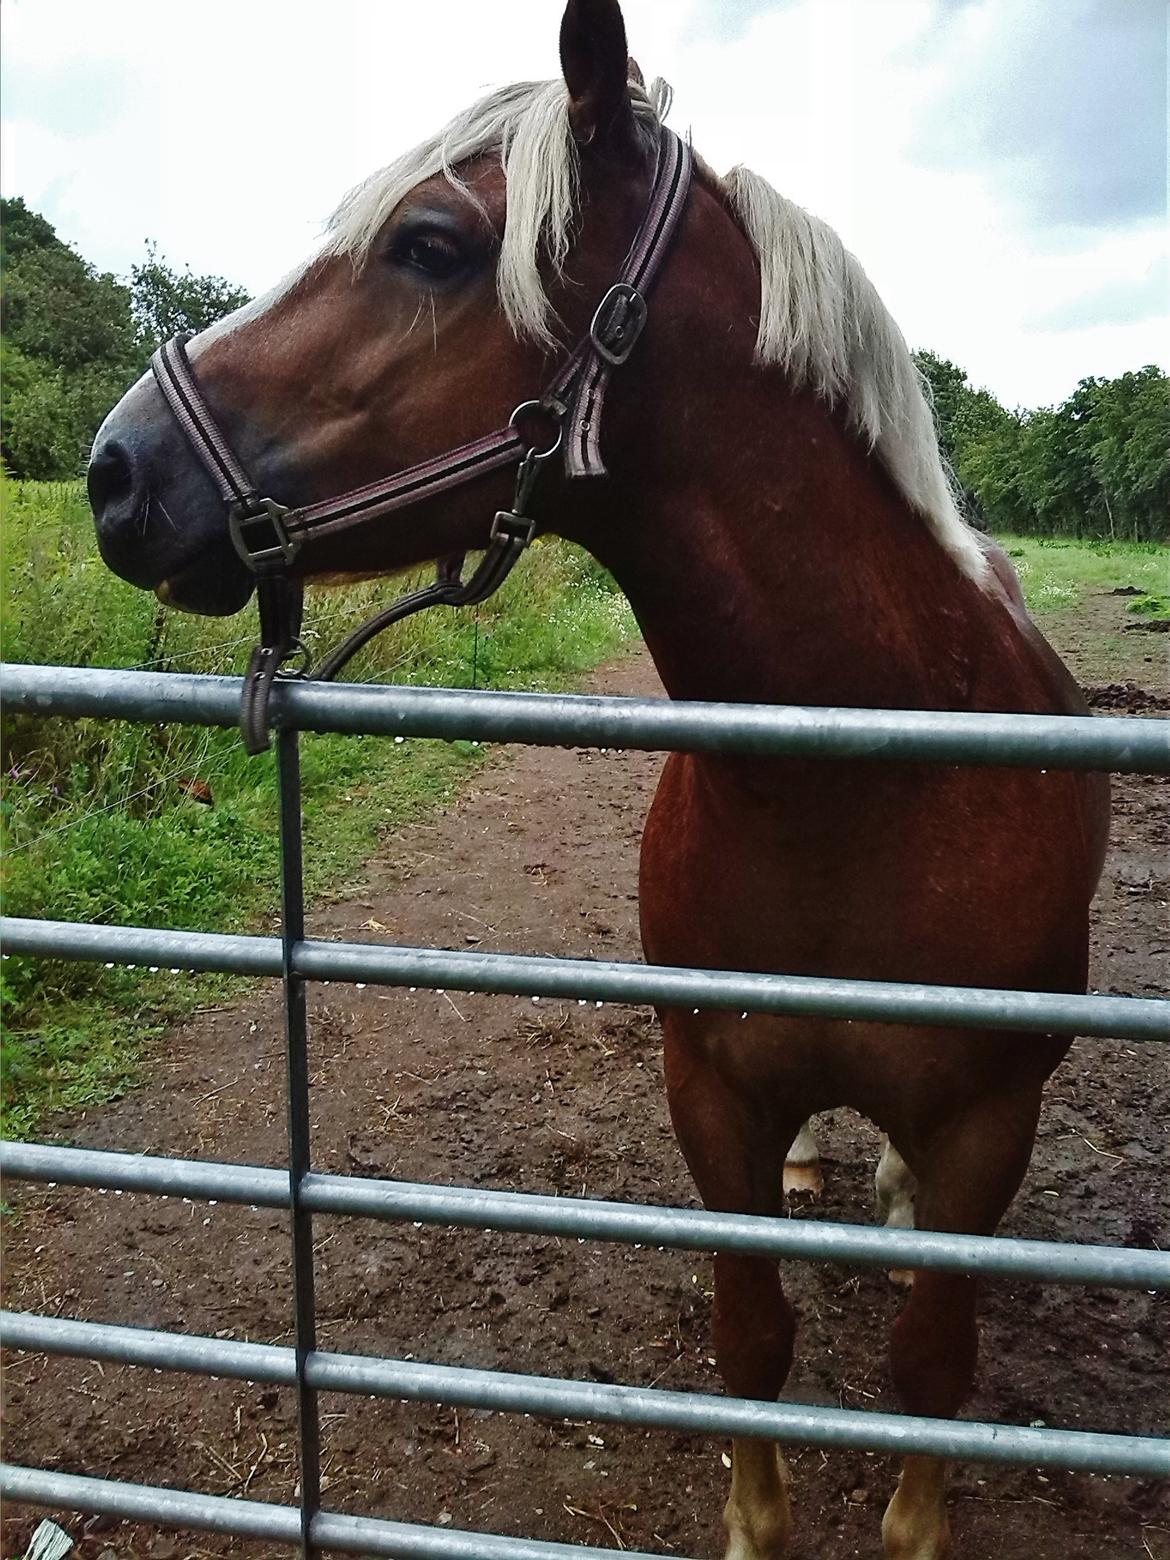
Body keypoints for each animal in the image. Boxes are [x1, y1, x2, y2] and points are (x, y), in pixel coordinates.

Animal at [86, 6, 1110, 1553]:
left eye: (430, 245)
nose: (113, 474)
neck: (862, 793)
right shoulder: (712, 1097)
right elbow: (750, 1341)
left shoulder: (987, 1124)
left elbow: (933, 1368)